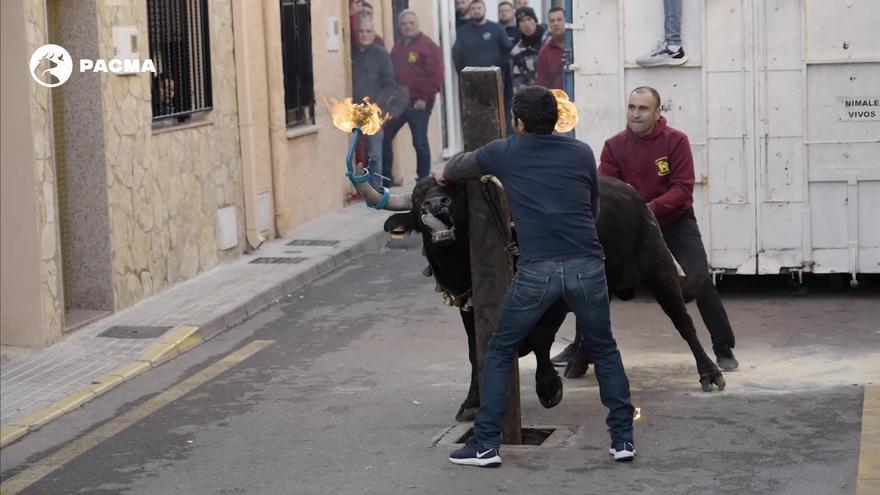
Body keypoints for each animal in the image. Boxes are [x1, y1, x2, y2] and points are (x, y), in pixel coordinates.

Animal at [382, 174, 724, 422]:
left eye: (452, 191)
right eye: (417, 197)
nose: (436, 204)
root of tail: (632, 192)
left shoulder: (555, 299)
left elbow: (540, 338)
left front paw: (548, 388)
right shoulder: (469, 308)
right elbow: (475, 351)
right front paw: (472, 403)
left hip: (658, 266)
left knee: (683, 322)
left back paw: (710, 373)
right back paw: (580, 361)